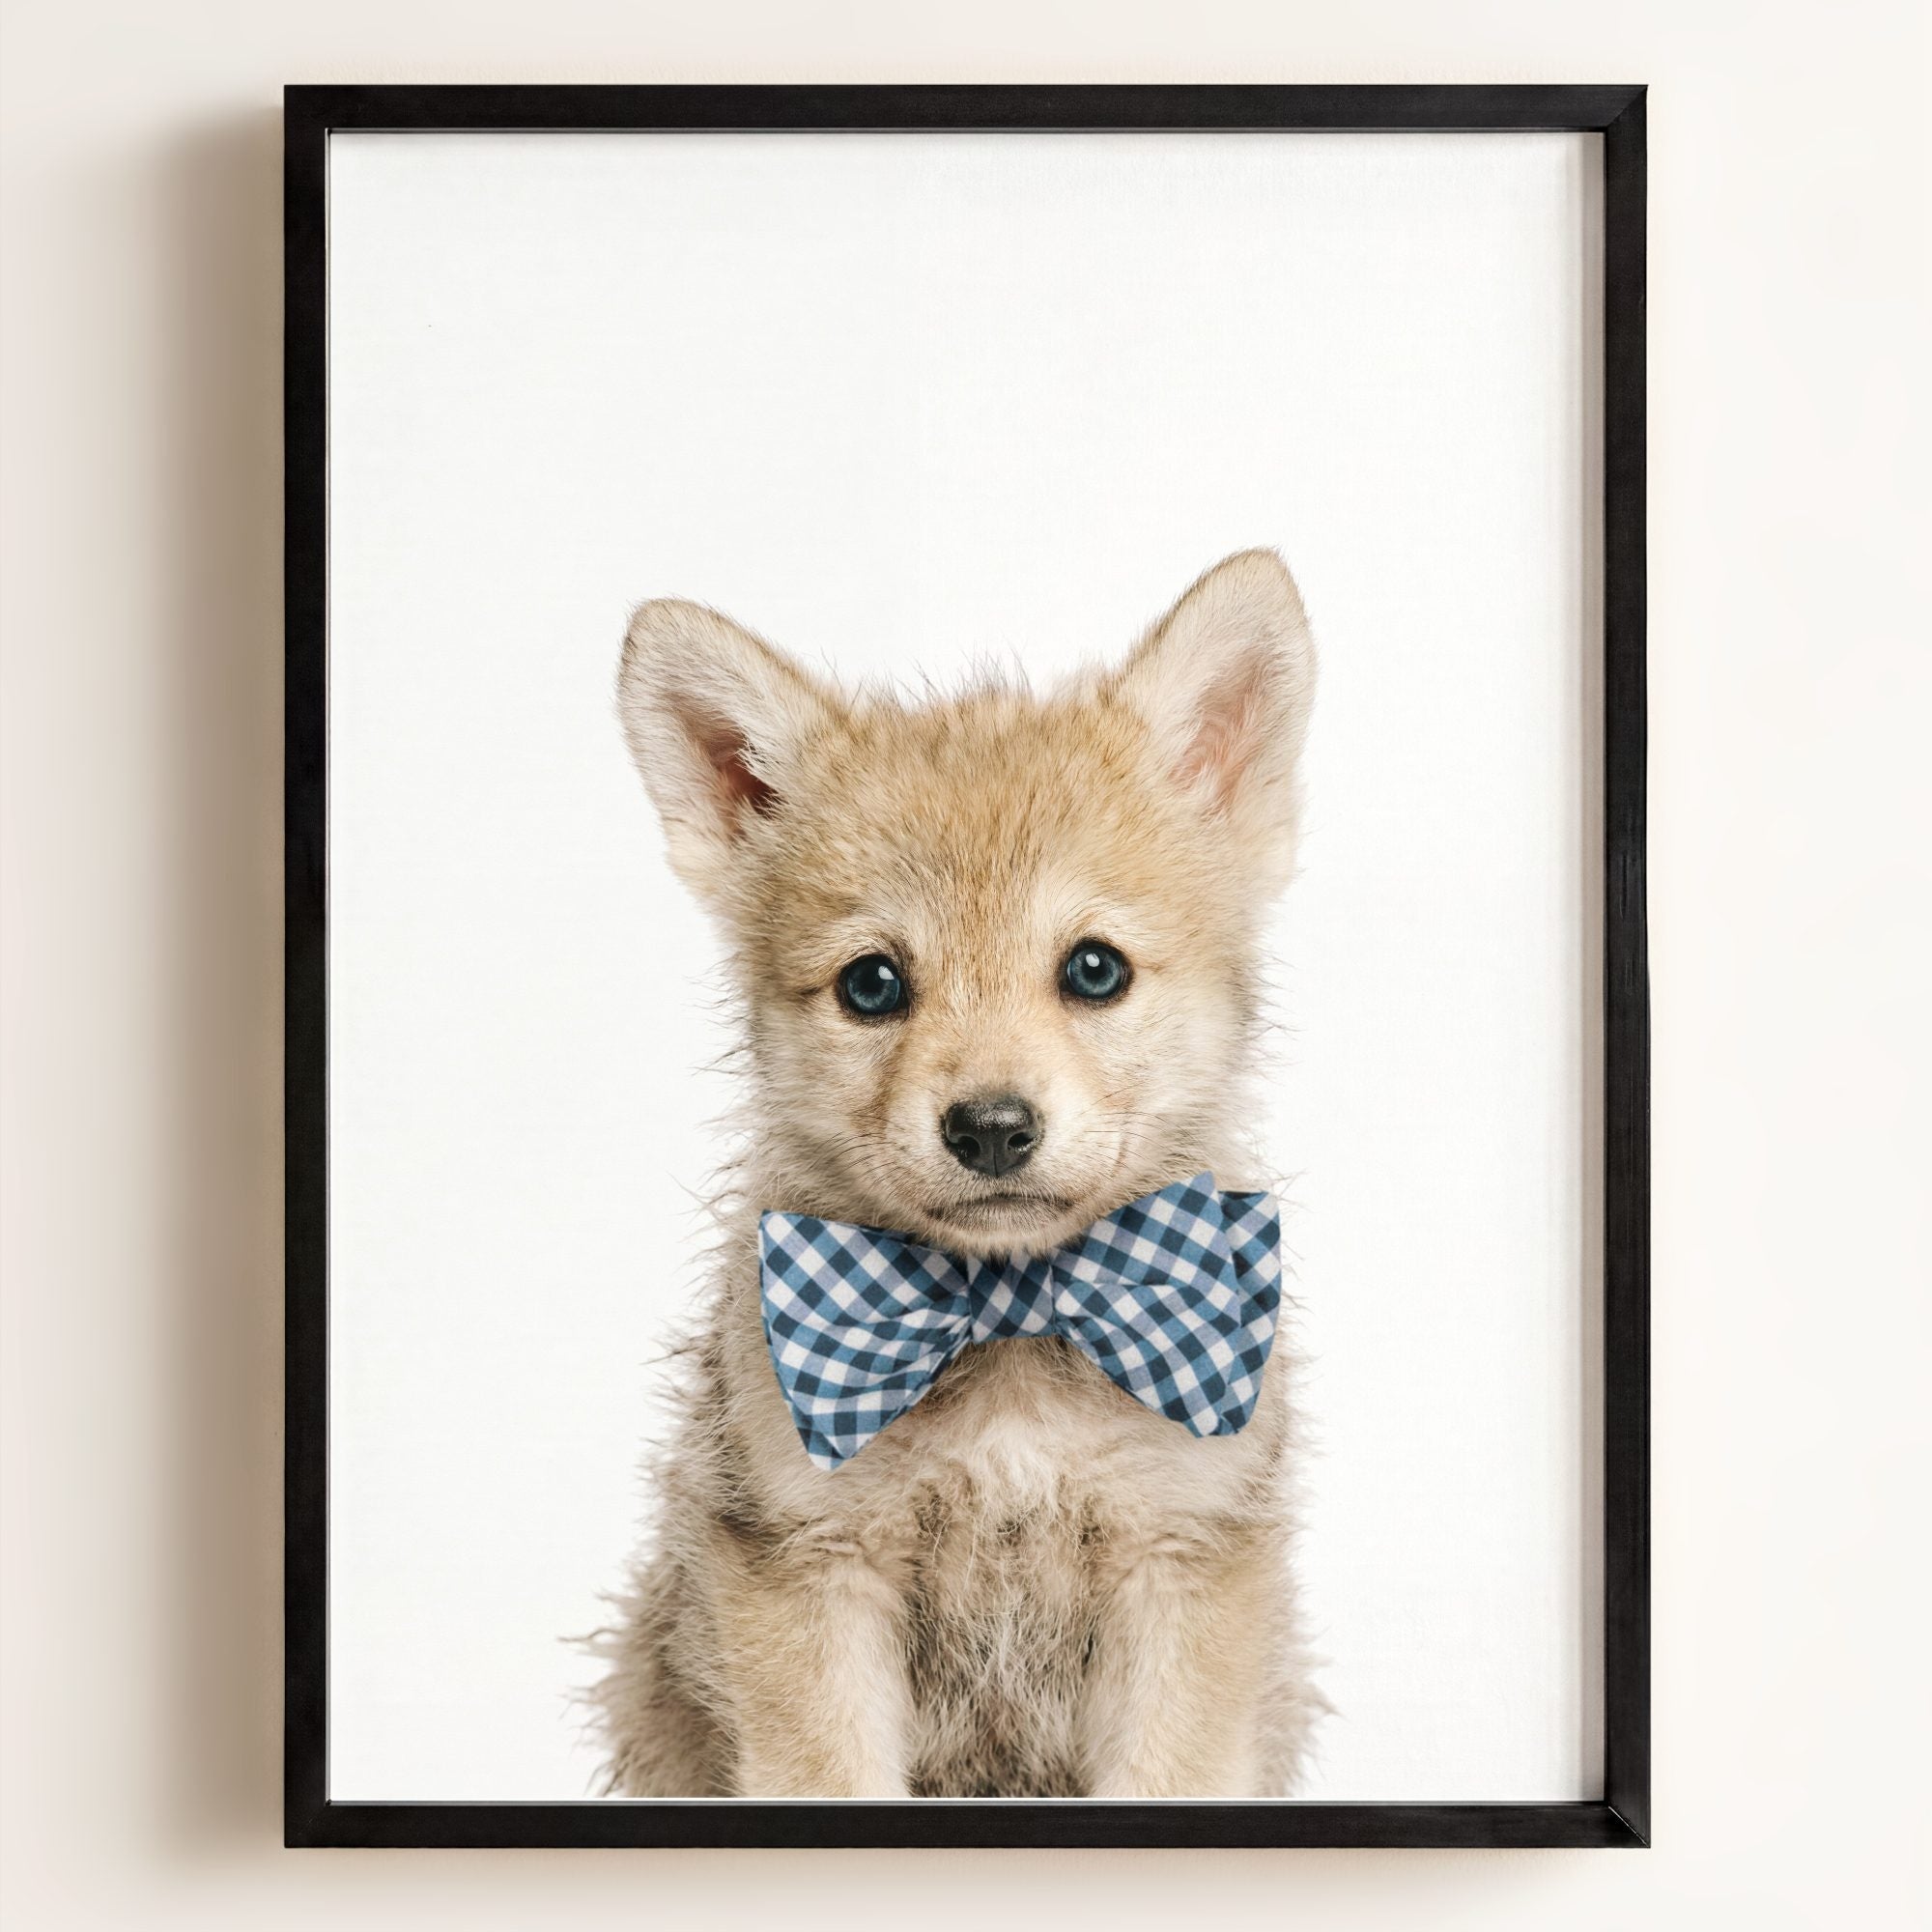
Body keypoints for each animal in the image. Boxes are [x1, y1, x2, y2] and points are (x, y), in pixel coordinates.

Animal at [591, 550, 1323, 1798]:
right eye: (871, 983)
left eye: (1093, 968)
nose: (988, 1127)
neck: (1010, 1315)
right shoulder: (812, 1567)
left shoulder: (1178, 1564)